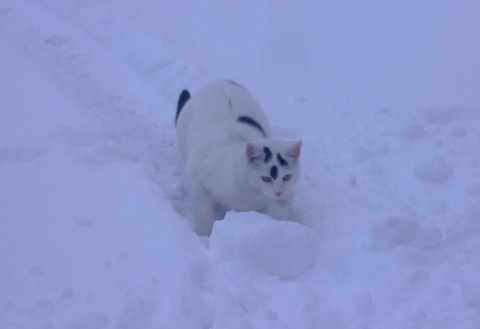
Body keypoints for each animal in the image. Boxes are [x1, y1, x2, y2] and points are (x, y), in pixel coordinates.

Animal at [174, 81, 302, 236]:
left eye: (287, 177)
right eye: (266, 178)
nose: (279, 192)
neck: (248, 194)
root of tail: (220, 81)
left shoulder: (262, 203)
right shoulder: (199, 183)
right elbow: (205, 216)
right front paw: (205, 236)